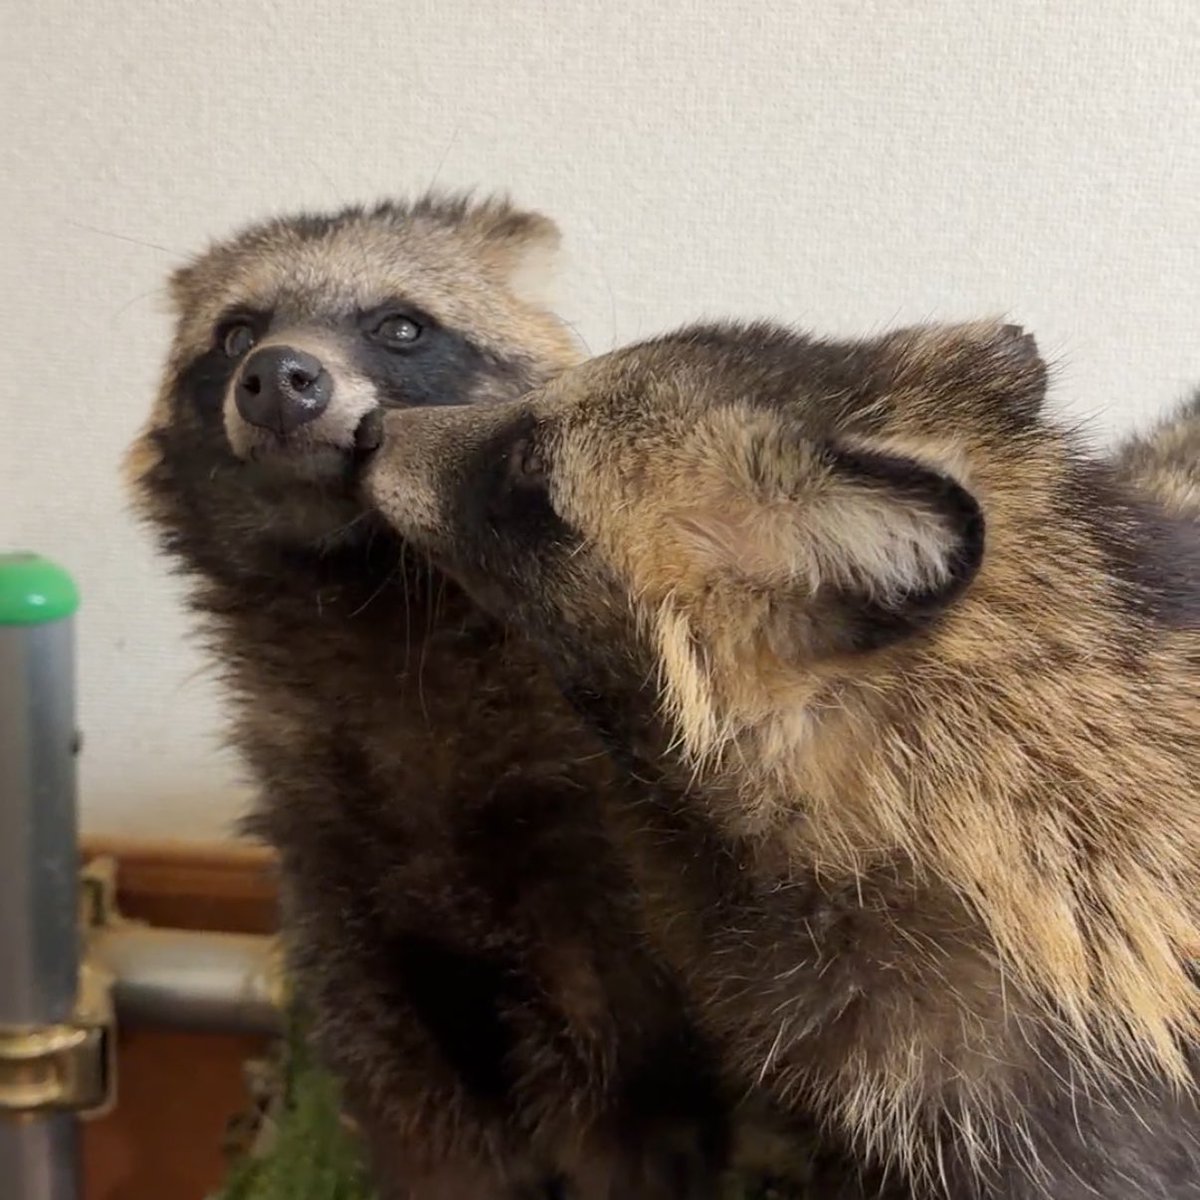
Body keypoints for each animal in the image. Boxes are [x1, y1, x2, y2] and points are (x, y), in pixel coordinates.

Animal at [125, 195, 734, 1200]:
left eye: (401, 326)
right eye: (236, 332)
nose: (277, 377)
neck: (366, 588)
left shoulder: (595, 866)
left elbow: (624, 1106)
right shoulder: (334, 880)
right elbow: (419, 1119)